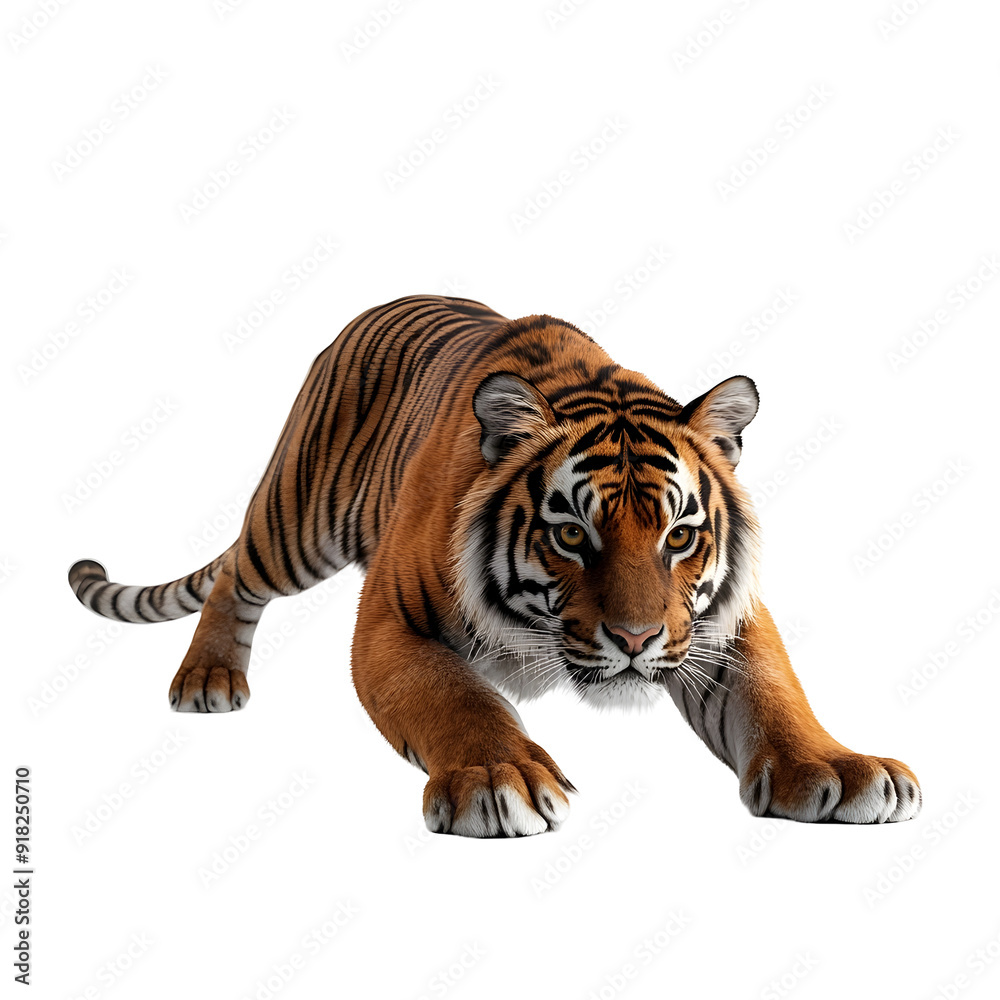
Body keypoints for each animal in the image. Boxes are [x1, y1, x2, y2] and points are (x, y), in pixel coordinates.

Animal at [69, 294, 921, 837]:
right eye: (572, 534)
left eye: (680, 537)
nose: (637, 641)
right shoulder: (391, 623)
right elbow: (457, 698)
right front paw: (499, 780)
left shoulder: (716, 623)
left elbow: (776, 693)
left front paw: (840, 770)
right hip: (298, 518)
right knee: (237, 577)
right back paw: (208, 680)